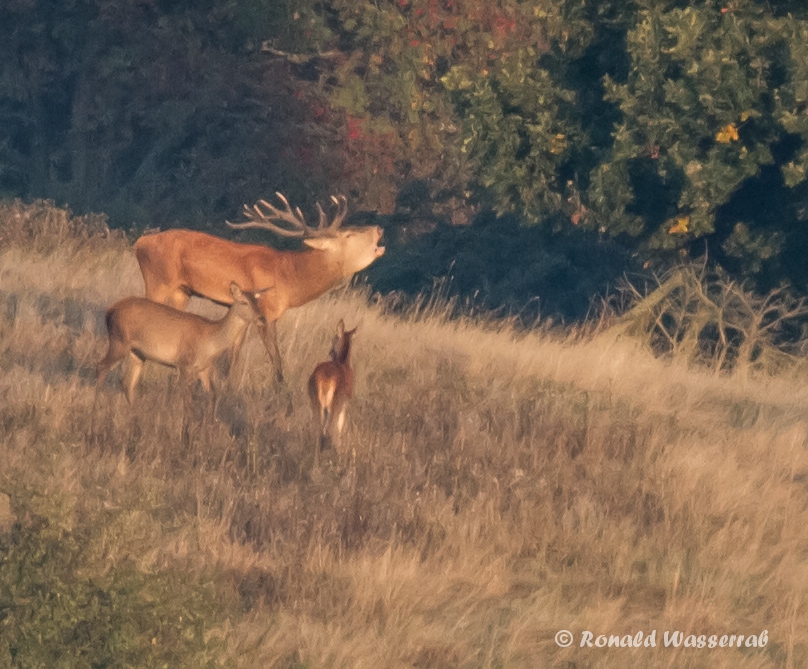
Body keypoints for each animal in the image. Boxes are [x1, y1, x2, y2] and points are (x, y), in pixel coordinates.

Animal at [95, 282, 269, 415]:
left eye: (258, 303)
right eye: (244, 302)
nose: (262, 318)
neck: (211, 342)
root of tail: (109, 311)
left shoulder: (204, 369)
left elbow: (213, 394)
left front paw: (210, 424)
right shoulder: (184, 364)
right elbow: (188, 402)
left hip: (137, 353)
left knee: (128, 382)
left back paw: (135, 413)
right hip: (119, 341)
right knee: (102, 365)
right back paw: (95, 407)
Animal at [133, 193, 384, 387]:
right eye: (349, 234)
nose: (379, 228)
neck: (288, 278)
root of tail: (139, 243)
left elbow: (235, 352)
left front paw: (230, 386)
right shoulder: (267, 311)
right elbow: (276, 358)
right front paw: (281, 393)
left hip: (181, 291)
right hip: (158, 280)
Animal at [308, 319, 357, 467]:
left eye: (332, 339)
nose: (330, 351)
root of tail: (324, 377)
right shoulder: (344, 406)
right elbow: (340, 426)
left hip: (315, 403)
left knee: (317, 431)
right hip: (335, 405)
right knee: (331, 431)